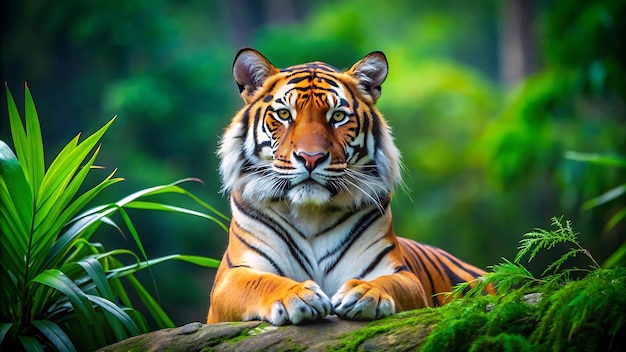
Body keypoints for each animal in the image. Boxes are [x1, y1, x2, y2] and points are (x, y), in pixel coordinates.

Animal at [207, 48, 490, 326]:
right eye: (284, 114)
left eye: (338, 116)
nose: (311, 158)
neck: (310, 213)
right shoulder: (231, 277)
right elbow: (261, 282)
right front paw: (298, 295)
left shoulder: (402, 275)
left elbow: (390, 283)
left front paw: (365, 293)